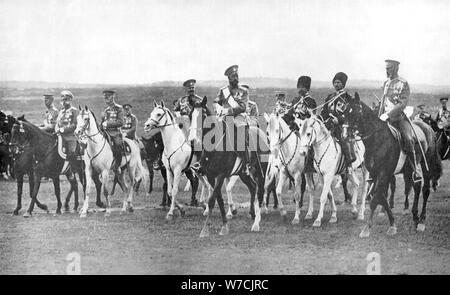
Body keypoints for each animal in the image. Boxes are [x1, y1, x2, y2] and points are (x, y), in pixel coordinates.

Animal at [187, 97, 268, 238]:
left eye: (203, 115)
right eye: (191, 115)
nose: (192, 140)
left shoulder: (221, 175)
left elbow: (212, 200)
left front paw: (205, 230)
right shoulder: (210, 176)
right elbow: (218, 199)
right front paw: (224, 225)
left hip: (260, 171)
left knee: (260, 192)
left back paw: (256, 224)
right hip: (243, 173)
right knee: (253, 187)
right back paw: (252, 213)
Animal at [346, 100, 442, 238]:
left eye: (354, 112)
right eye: (344, 112)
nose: (346, 135)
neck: (378, 139)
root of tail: (428, 128)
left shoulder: (383, 173)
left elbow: (376, 199)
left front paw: (366, 228)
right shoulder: (376, 174)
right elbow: (381, 197)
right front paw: (392, 224)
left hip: (426, 164)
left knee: (425, 190)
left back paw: (422, 221)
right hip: (410, 169)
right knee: (416, 186)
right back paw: (415, 216)